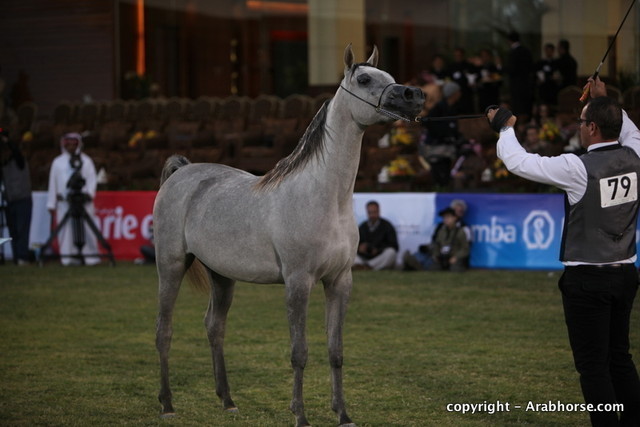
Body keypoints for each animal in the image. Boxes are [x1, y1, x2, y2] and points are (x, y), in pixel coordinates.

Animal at [154, 44, 425, 426]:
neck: (323, 197)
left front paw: (343, 414)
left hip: (221, 275)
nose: (413, 96)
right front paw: (300, 415)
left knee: (214, 327)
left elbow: (336, 351)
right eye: (364, 79)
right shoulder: (298, 283)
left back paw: (228, 400)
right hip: (171, 266)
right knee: (164, 331)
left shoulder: (339, 281)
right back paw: (167, 404)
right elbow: (300, 352)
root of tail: (183, 172)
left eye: (389, 75)